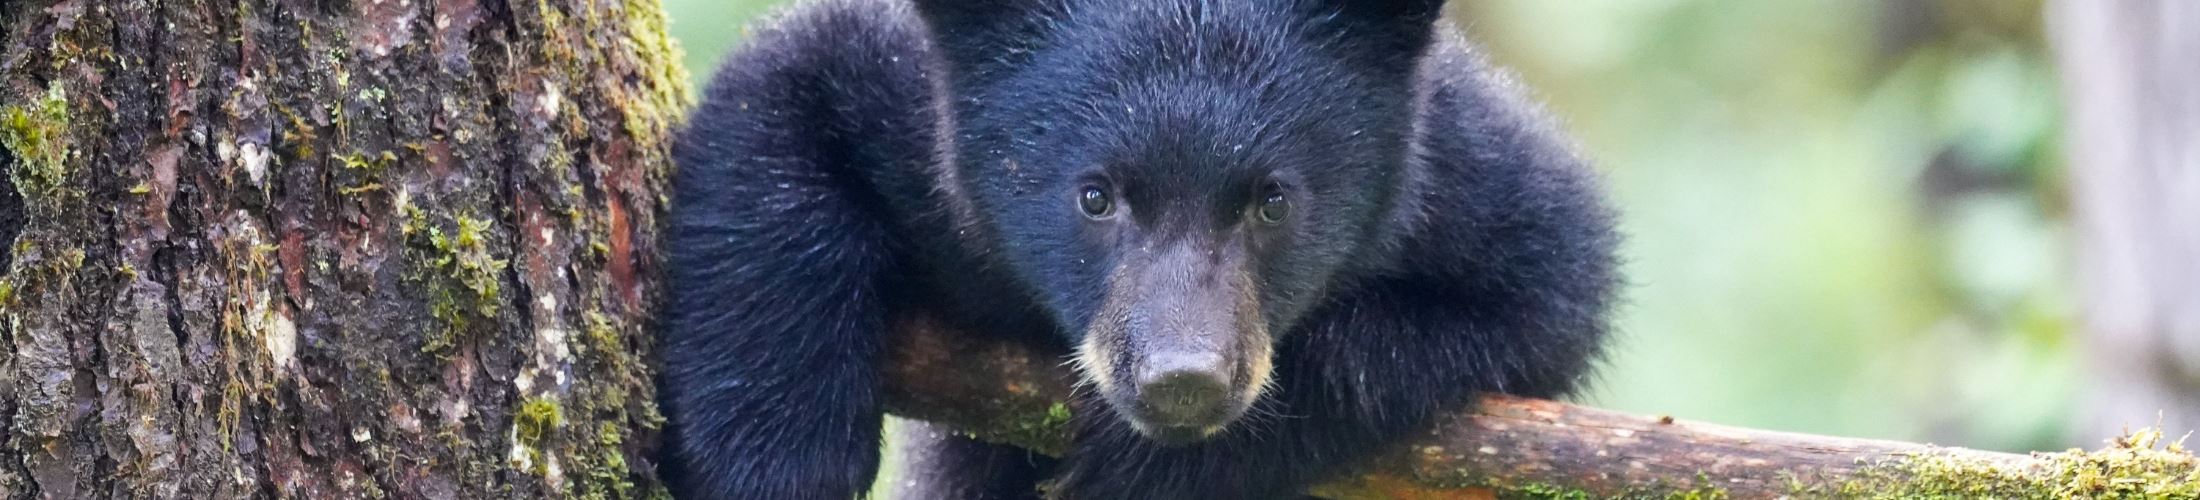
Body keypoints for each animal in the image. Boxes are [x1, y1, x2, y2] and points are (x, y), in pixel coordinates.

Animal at [658, 0, 1620, 498]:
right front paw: (776, 458)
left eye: (1272, 200)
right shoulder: (908, 103)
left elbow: (1554, 284)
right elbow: (777, 102)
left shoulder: (1453, 175)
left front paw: (1146, 464)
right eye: (1094, 194)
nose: (1182, 377)